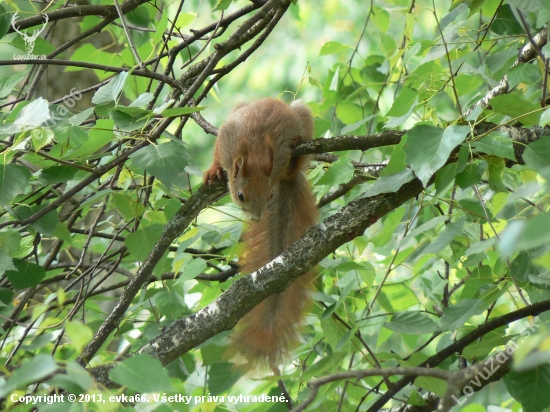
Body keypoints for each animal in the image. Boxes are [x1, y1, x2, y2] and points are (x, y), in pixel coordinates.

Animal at [205, 98, 320, 372]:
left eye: (269, 196)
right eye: (240, 196)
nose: (257, 218)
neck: (255, 151)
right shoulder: (226, 139)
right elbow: (217, 155)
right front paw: (213, 171)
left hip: (301, 114)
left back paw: (297, 149)